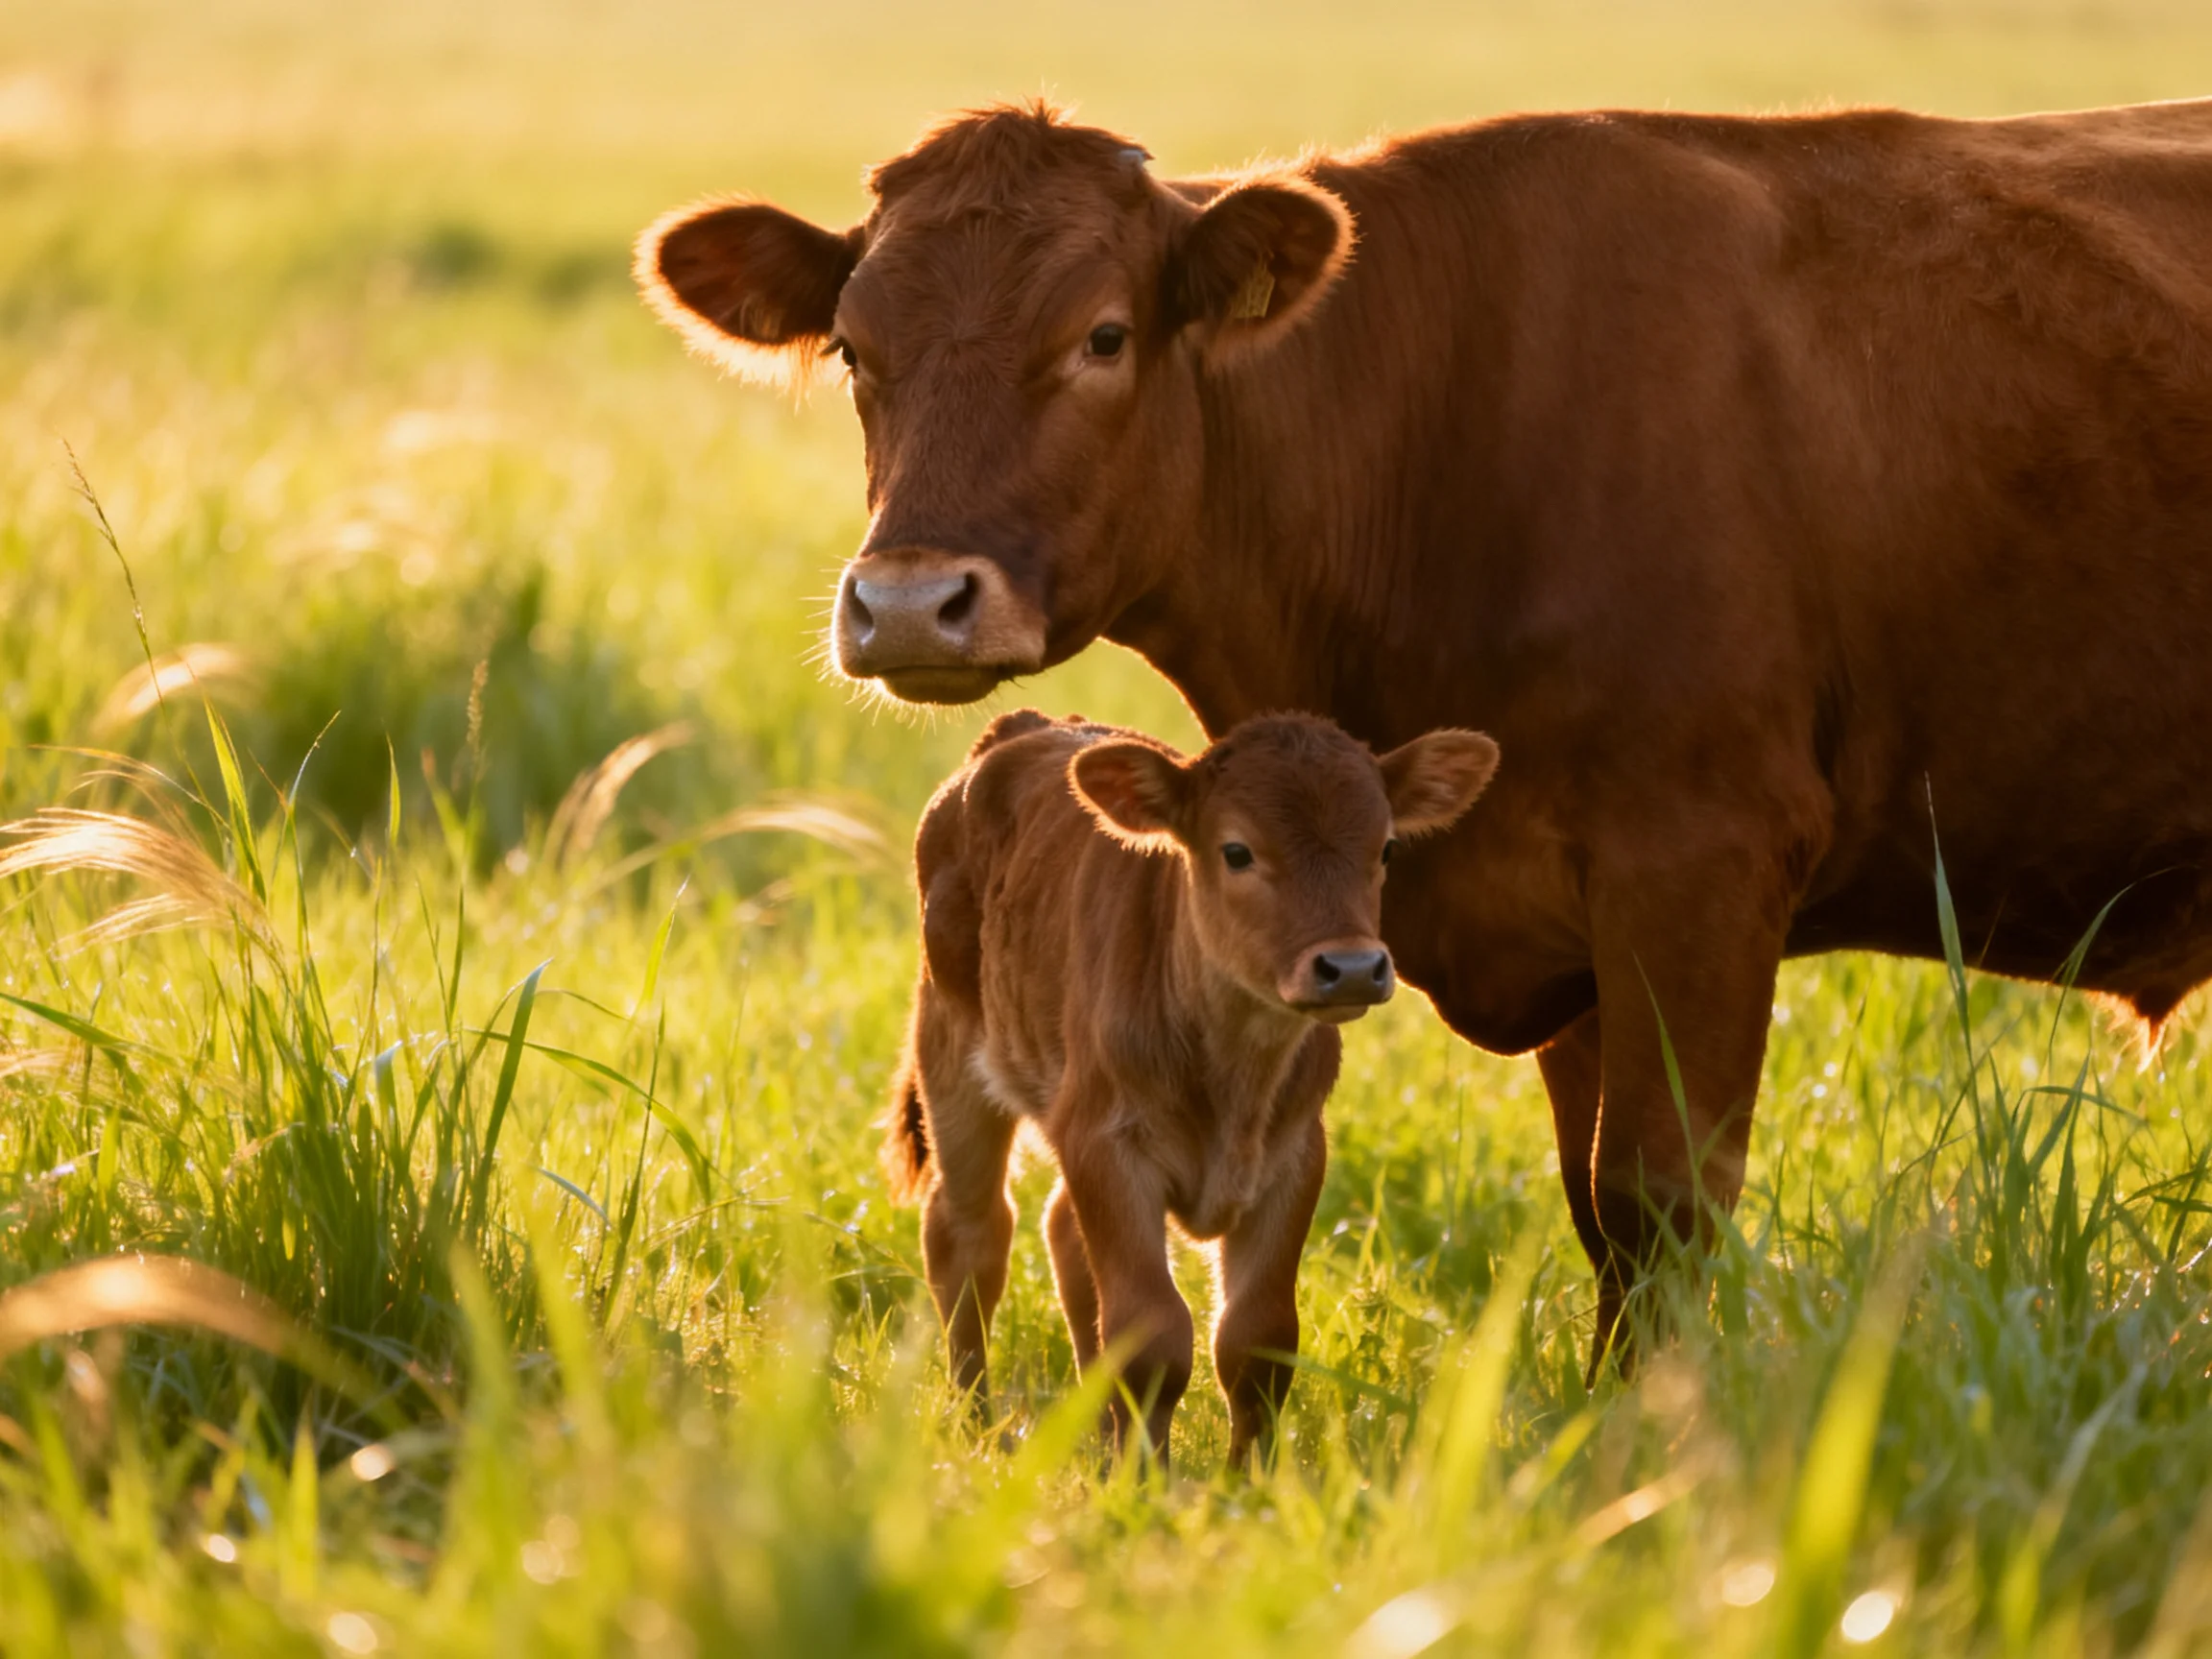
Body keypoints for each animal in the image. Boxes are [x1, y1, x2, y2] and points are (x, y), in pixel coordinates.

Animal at [637, 98, 2212, 1364]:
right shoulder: (1573, 932)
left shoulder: (1699, 867)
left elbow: (1661, 1202)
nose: (911, 603)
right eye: (855, 348)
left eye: (1102, 335)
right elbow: (1599, 1207)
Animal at [881, 708, 1497, 1463]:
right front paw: (1146, 1479)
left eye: (1386, 849)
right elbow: (1151, 1334)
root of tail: (1024, 727)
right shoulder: (1107, 1143)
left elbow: (1257, 1339)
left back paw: (1094, 1441)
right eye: (1236, 851)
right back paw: (978, 1425)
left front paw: (1249, 1479)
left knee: (1060, 1232)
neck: (1234, 1068)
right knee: (969, 1234)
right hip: (952, 1051)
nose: (1352, 967)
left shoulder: (1295, 1156)